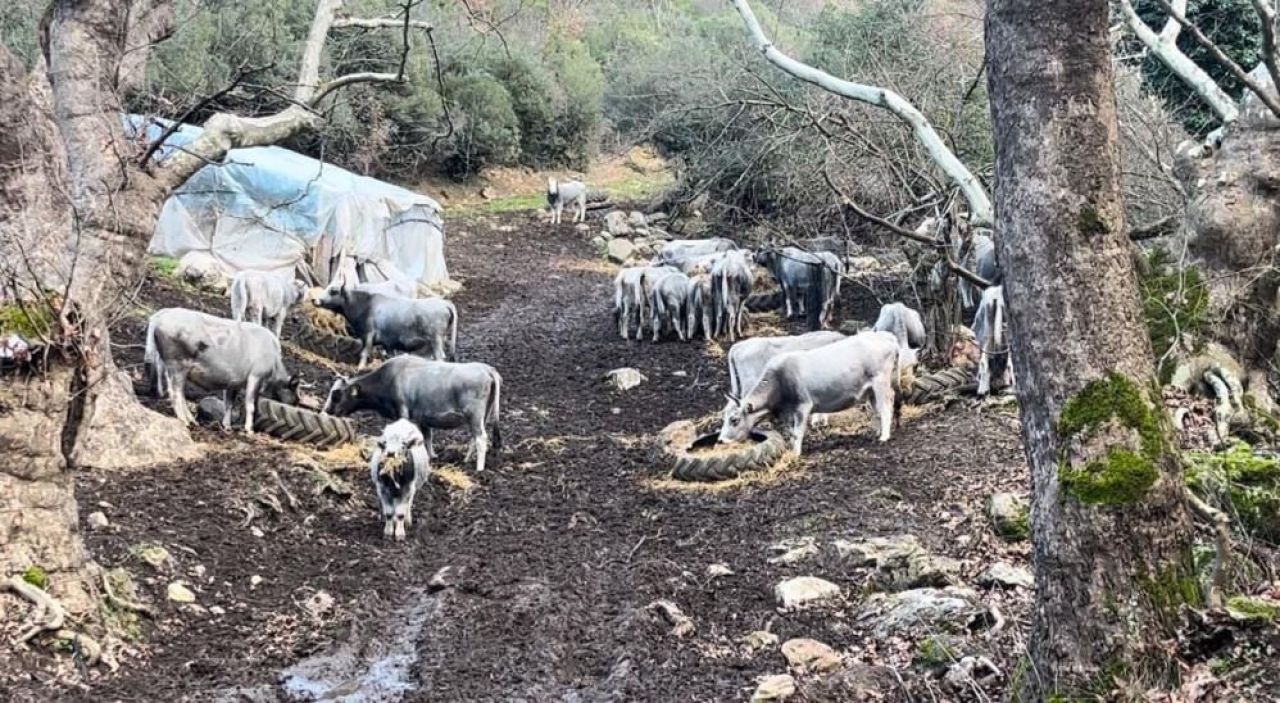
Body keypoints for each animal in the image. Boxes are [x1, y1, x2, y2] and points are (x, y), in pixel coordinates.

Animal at [144, 308, 298, 432]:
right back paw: (185, 421)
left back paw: (193, 420)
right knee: (175, 393)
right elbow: (250, 404)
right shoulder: (256, 376)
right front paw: (249, 430)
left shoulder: (234, 382)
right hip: (178, 365)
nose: (296, 403)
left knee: (179, 393)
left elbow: (229, 403)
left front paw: (227, 426)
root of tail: (159, 317)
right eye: (295, 396)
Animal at [312, 284, 458, 366]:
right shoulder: (387, 343)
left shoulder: (369, 335)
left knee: (440, 358)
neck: (365, 306)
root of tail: (444, 303)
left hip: (435, 340)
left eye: (333, 291)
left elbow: (364, 354)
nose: (314, 299)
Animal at [322, 355, 501, 471]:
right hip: (481, 416)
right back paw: (466, 459)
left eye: (336, 395)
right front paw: (431, 457)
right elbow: (427, 438)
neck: (388, 378)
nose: (327, 411)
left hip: (474, 415)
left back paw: (479, 469)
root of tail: (486, 368)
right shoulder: (423, 419)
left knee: (481, 439)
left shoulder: (403, 414)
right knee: (474, 438)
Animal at [721, 330, 921, 455]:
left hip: (881, 382)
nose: (721, 440)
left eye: (734, 420)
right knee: (877, 411)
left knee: (886, 407)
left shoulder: (803, 406)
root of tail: (885, 336)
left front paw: (795, 453)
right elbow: (792, 432)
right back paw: (876, 432)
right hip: (871, 389)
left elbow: (798, 431)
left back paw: (884, 436)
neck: (780, 376)